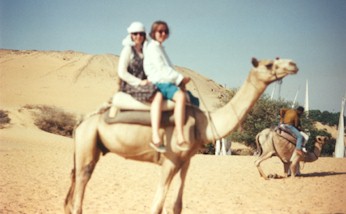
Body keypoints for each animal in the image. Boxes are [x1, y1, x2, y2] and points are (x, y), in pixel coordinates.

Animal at [64, 57, 298, 214]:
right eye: (269, 64)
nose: (293, 64)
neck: (204, 123)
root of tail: (81, 123)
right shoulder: (169, 161)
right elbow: (156, 206)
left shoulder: (185, 161)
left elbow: (177, 205)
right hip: (87, 142)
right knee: (80, 189)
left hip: (91, 146)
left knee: (72, 188)